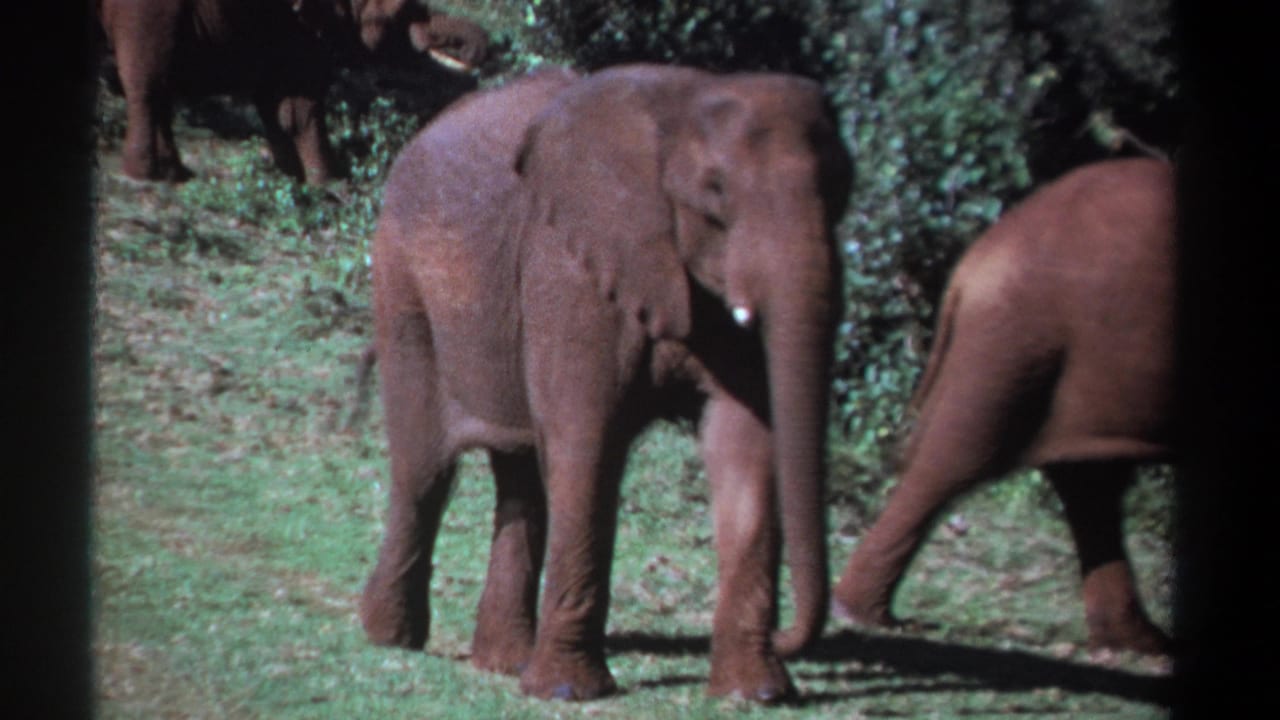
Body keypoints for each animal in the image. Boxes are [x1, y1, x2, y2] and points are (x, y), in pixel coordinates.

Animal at [96, 0, 489, 185]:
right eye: (405, 9)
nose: (486, 45)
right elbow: (300, 102)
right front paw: (332, 183)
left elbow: (283, 103)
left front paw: (297, 179)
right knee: (148, 80)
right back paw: (145, 174)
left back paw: (173, 173)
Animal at [358, 64, 852, 702]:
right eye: (715, 192)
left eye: (842, 189)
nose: (793, 636)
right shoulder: (570, 266)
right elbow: (586, 440)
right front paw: (569, 693)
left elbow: (745, 442)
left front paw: (756, 694)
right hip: (402, 285)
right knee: (425, 468)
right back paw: (390, 638)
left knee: (521, 476)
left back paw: (504, 662)